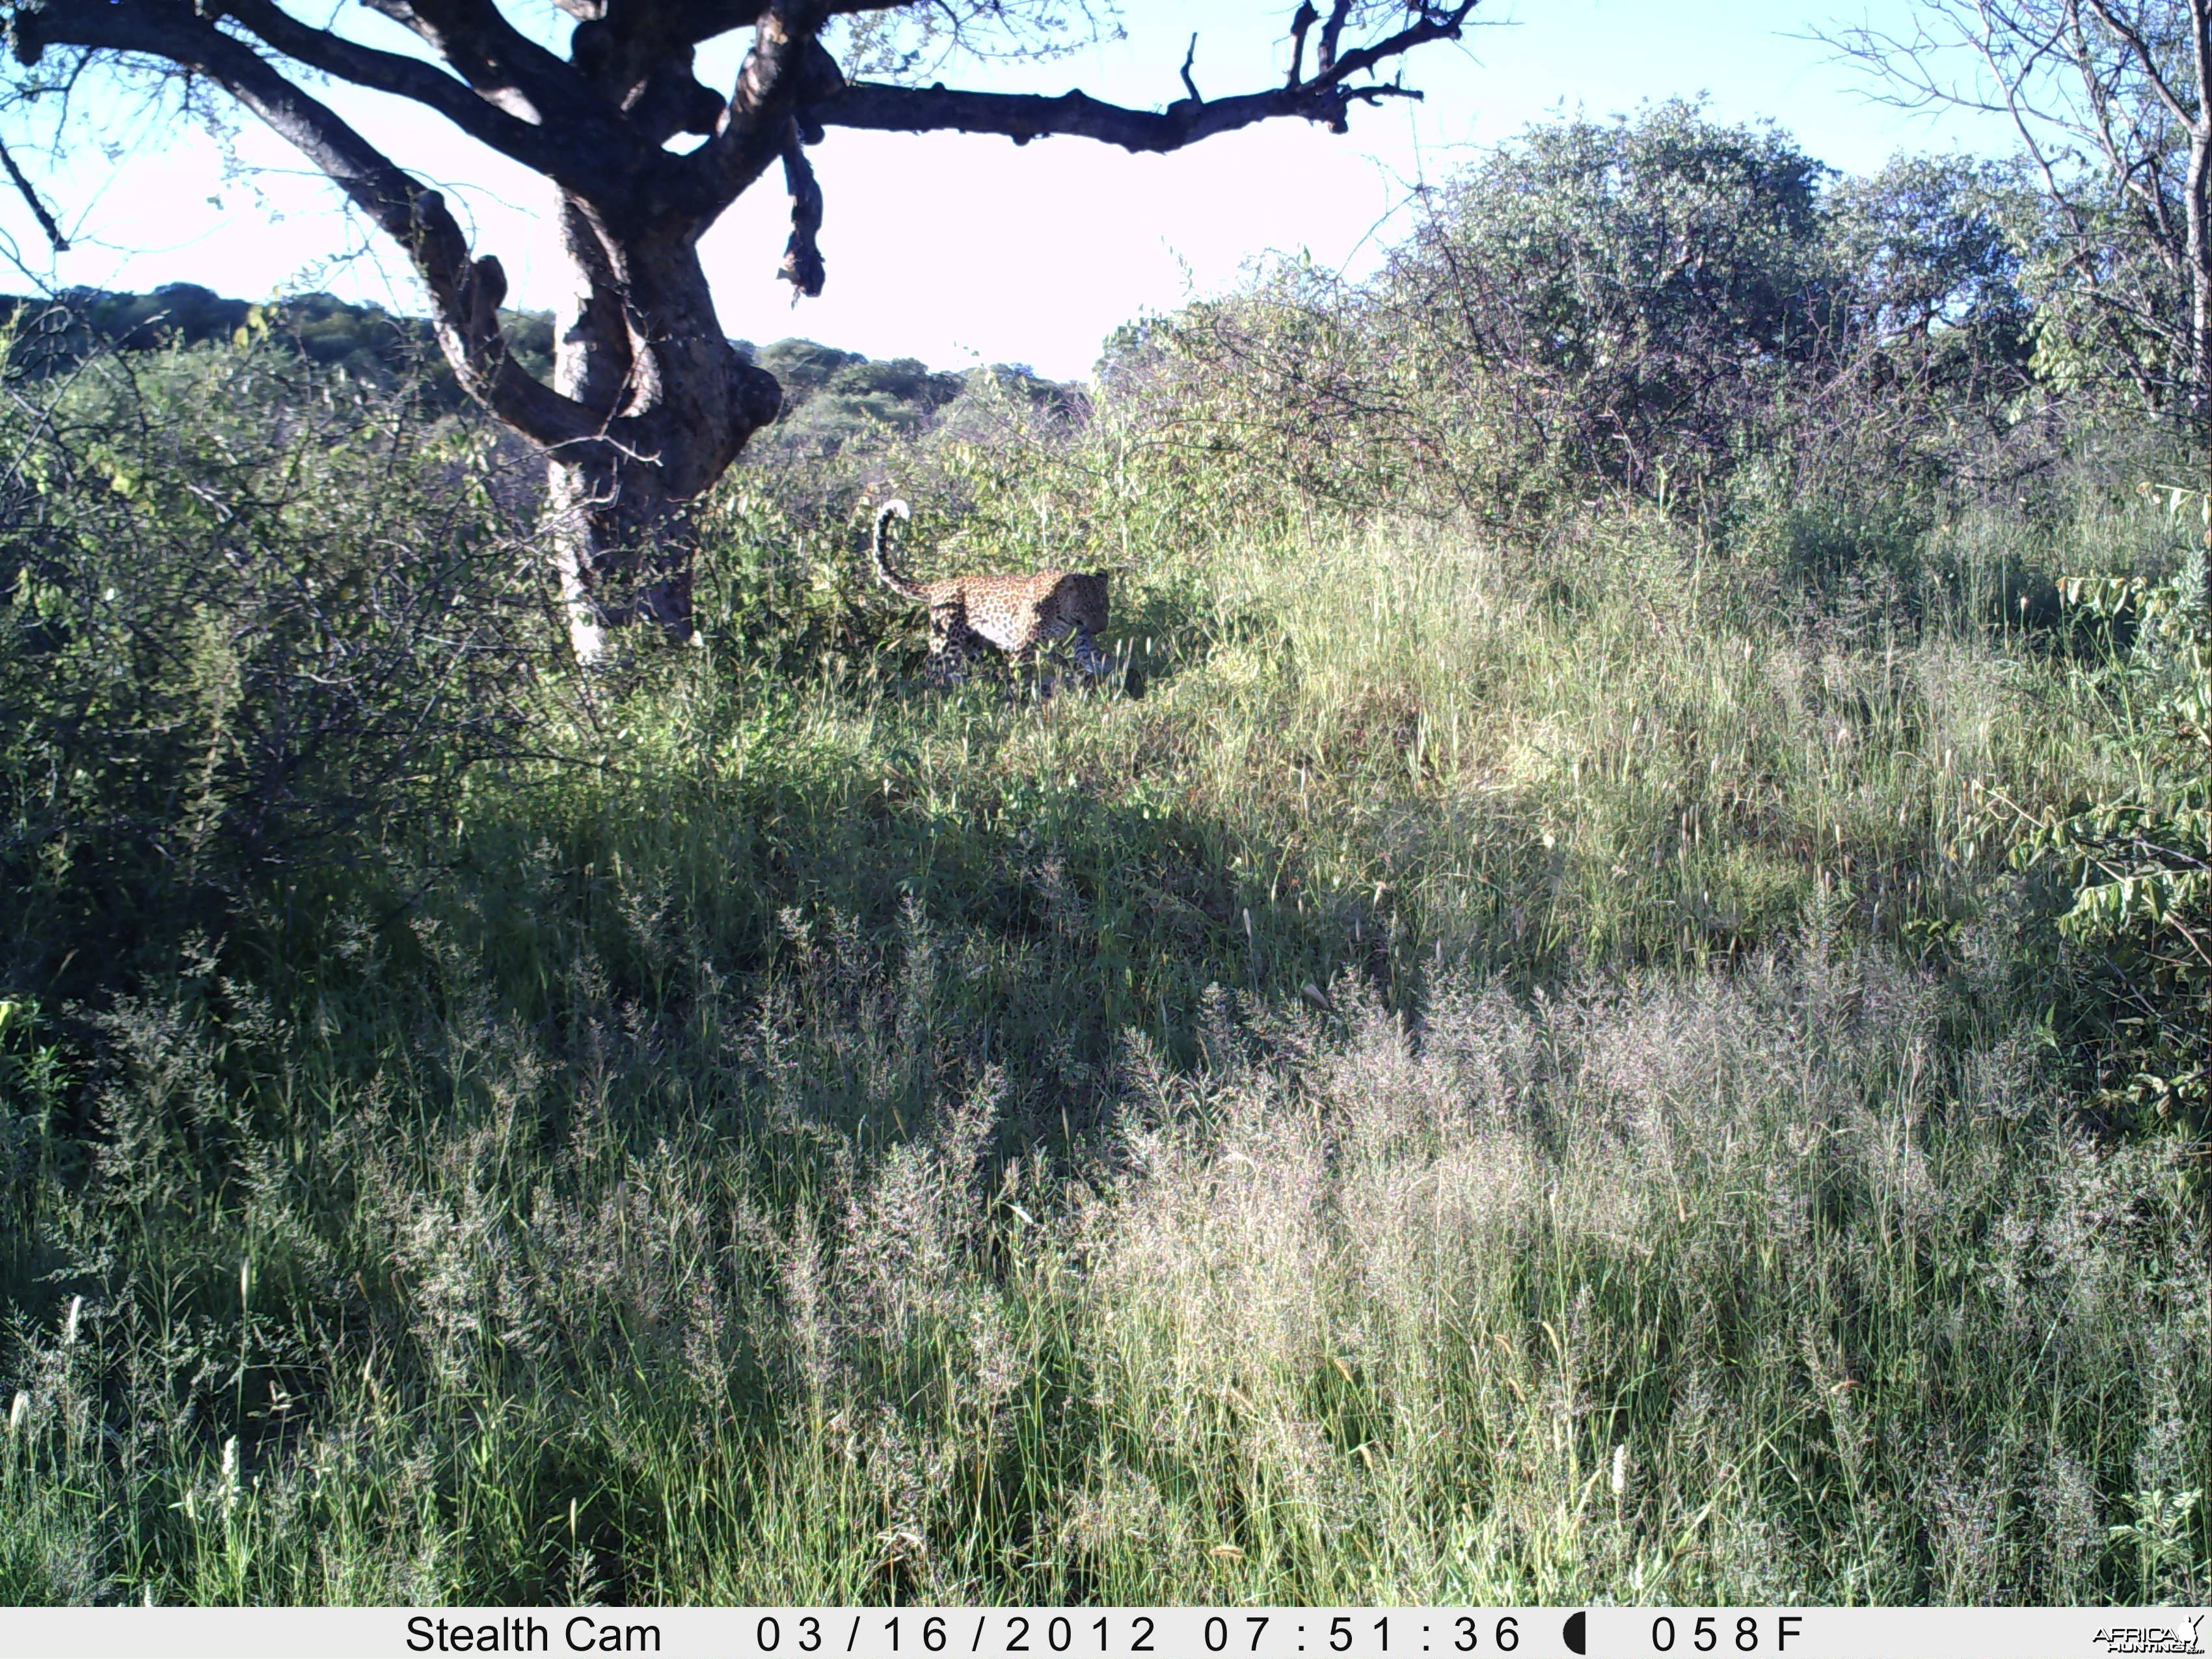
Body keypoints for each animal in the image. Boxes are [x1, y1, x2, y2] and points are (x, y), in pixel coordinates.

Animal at [863, 504, 1106, 690]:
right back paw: (938, 692)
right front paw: (1022, 697)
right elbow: (1021, 673)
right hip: (946, 641)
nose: (1100, 629)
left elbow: (1090, 657)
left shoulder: (1079, 640)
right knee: (933, 667)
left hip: (973, 644)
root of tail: (938, 586)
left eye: (1106, 608)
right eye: (1088, 607)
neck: (1063, 614)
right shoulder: (1023, 646)